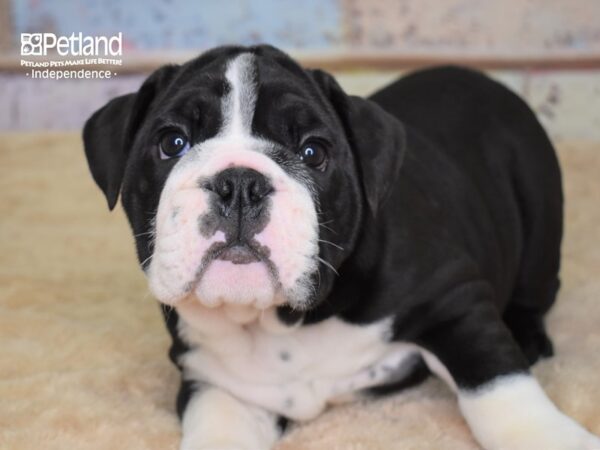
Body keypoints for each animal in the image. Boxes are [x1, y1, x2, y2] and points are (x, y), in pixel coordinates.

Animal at [83, 46, 600, 450]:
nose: (240, 183)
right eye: (173, 143)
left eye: (313, 152)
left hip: (539, 215)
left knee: (537, 288)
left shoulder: (456, 302)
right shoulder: (218, 382)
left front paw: (550, 439)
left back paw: (529, 335)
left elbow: (500, 388)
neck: (286, 322)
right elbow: (219, 427)